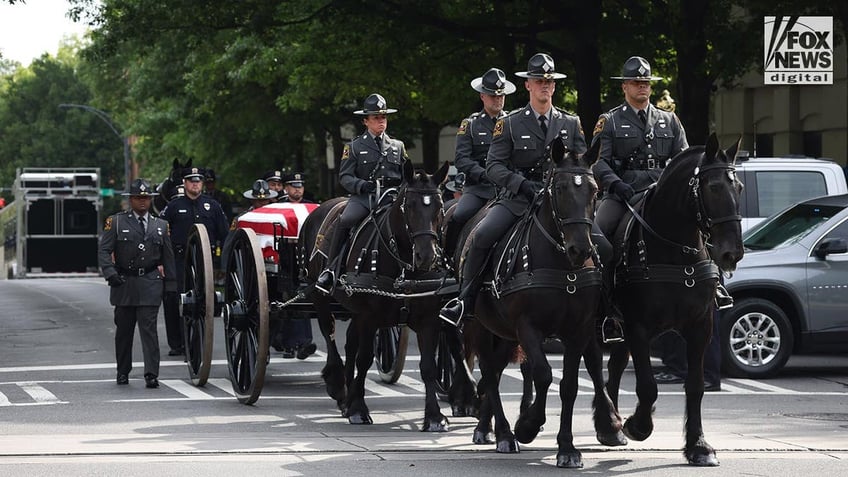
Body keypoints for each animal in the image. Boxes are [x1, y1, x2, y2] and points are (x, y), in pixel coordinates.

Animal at [302, 162, 454, 430]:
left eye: (439, 206)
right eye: (409, 205)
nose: (426, 256)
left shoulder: (428, 318)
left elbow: (428, 367)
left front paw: (435, 416)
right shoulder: (369, 316)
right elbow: (364, 359)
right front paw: (358, 409)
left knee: (350, 342)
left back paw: (347, 397)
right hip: (321, 297)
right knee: (330, 334)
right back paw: (339, 387)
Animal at [458, 139, 624, 468]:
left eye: (594, 190)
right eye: (558, 189)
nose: (580, 248)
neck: (562, 264)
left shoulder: (579, 329)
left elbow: (569, 384)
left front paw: (567, 447)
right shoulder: (528, 327)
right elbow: (544, 374)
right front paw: (528, 425)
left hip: (505, 333)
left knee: (497, 370)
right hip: (483, 327)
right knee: (490, 374)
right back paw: (504, 434)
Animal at [604, 133, 744, 464]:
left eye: (740, 187)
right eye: (714, 186)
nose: (732, 253)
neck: (676, 252)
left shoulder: (700, 327)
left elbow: (695, 386)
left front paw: (698, 445)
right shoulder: (638, 328)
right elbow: (648, 386)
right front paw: (638, 425)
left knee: (614, 368)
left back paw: (610, 428)